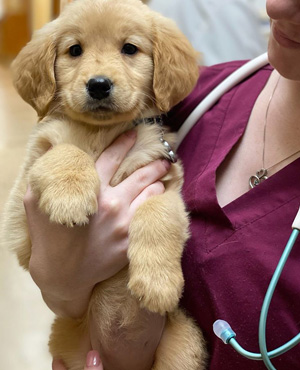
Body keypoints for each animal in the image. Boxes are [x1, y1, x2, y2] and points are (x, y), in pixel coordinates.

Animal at [2, 0, 206, 368]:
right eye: (74, 50)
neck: (102, 132)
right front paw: (70, 197)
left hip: (184, 343)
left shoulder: (164, 180)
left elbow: (159, 217)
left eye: (130, 48)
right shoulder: (20, 216)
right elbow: (66, 150)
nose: (98, 85)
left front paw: (158, 284)